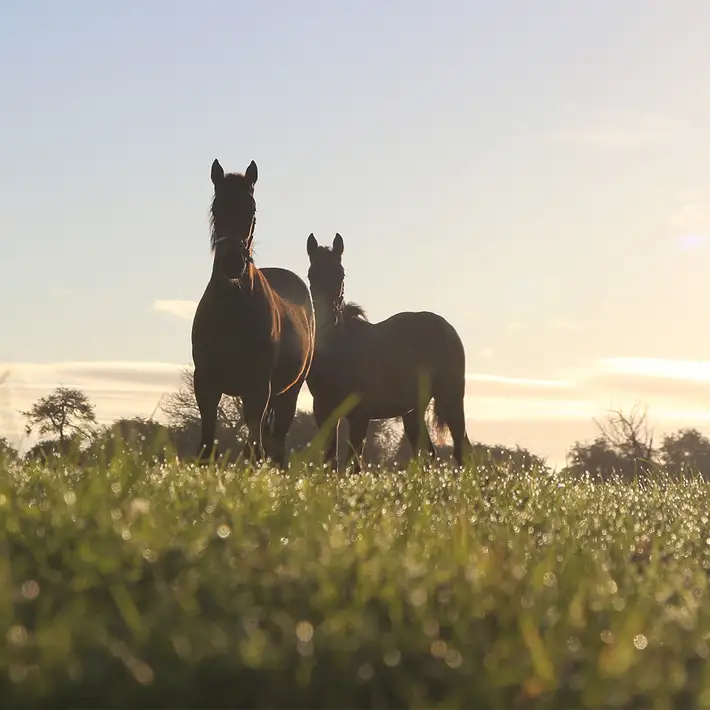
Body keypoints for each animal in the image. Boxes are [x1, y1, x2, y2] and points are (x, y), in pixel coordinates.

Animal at [191, 159, 315, 469]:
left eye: (252, 210)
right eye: (216, 208)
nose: (233, 263)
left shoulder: (258, 387)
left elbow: (254, 448)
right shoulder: (205, 383)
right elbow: (205, 447)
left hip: (288, 393)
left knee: (276, 443)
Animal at [305, 232, 472, 473]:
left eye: (341, 274)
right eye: (311, 275)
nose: (328, 319)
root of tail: (446, 327)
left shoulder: (360, 415)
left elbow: (353, 464)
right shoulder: (323, 412)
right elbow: (331, 461)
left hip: (451, 399)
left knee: (461, 450)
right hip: (413, 411)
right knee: (429, 452)